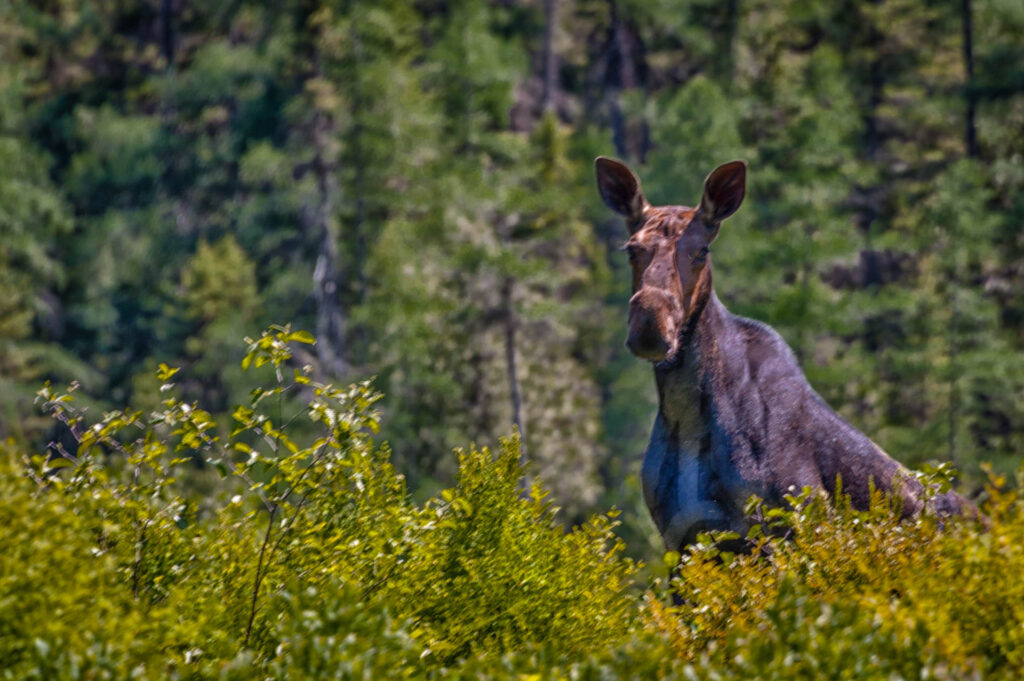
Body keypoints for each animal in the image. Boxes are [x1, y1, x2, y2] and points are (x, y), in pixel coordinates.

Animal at [593, 155, 966, 552]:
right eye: (631, 248)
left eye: (702, 251)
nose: (650, 326)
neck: (686, 417)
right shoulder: (683, 540)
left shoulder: (787, 527)